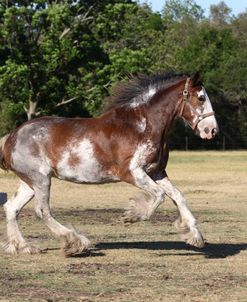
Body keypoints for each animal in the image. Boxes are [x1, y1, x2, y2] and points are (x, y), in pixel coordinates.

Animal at [0, 72, 218, 256]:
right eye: (201, 98)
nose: (212, 130)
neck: (142, 126)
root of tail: (11, 137)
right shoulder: (132, 173)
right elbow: (159, 196)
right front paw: (131, 216)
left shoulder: (157, 172)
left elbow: (178, 196)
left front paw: (195, 236)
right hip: (41, 179)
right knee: (42, 211)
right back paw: (76, 243)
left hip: (30, 183)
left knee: (12, 208)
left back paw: (23, 247)